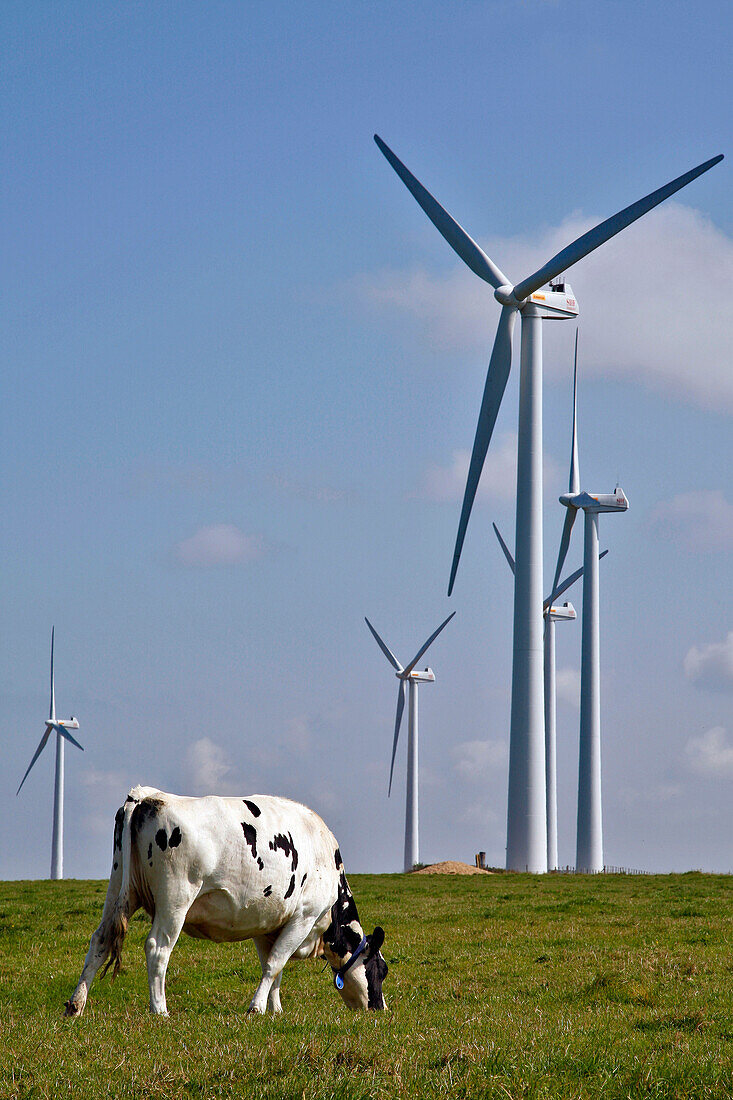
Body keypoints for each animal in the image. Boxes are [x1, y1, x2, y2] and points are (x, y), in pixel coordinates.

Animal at [64, 787, 385, 1016]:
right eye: (381, 970)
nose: (380, 1008)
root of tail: (147, 795)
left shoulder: (268, 923)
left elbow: (275, 968)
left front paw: (275, 1010)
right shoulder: (303, 917)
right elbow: (274, 965)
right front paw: (256, 1008)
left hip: (121, 887)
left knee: (100, 939)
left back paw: (76, 1005)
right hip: (175, 898)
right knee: (157, 948)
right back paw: (160, 1010)